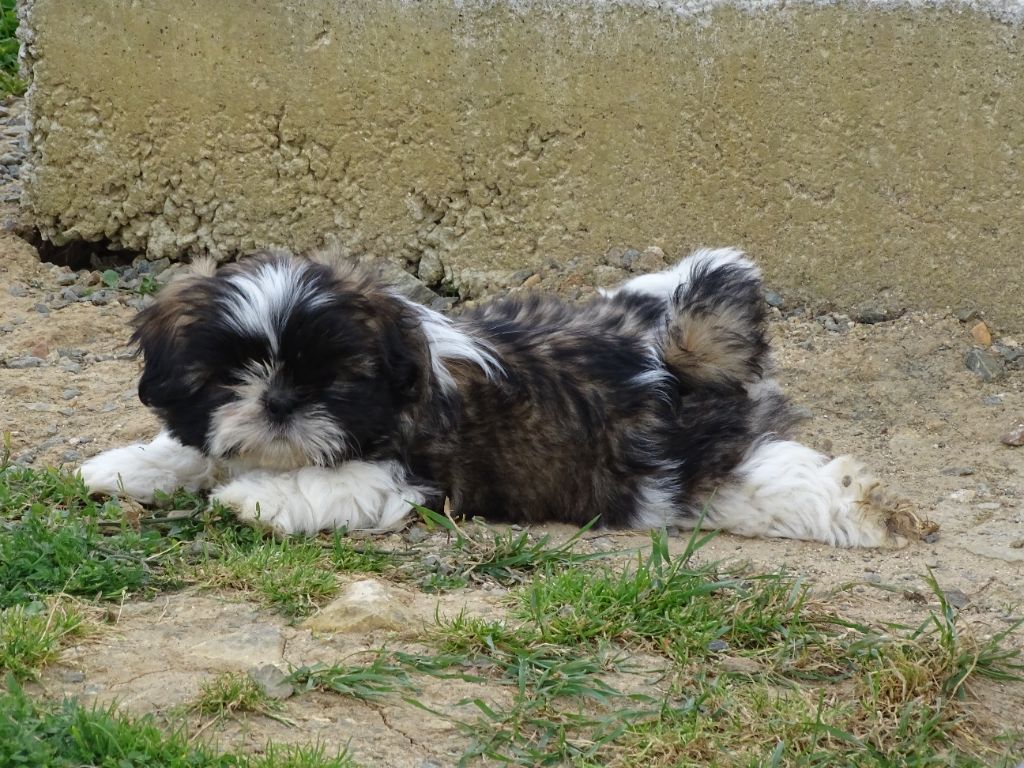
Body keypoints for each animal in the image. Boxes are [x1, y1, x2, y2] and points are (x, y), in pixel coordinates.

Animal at [80, 246, 929, 547]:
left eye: (334, 383)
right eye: (230, 376)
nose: (281, 404)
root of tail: (671, 354)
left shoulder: (414, 470)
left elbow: (335, 483)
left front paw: (257, 499)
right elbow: (189, 450)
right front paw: (128, 467)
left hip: (684, 471)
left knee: (786, 486)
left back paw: (868, 510)